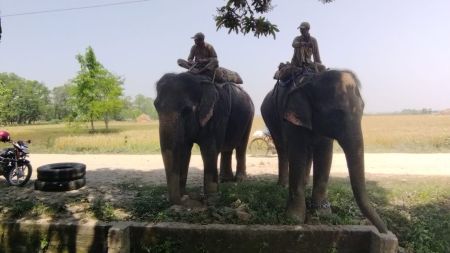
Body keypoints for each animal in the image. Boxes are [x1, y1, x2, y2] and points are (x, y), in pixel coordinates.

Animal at [154, 72, 253, 205]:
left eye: (186, 111)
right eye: (156, 107)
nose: (182, 200)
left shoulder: (217, 113)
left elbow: (209, 150)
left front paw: (211, 199)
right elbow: (184, 150)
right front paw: (184, 194)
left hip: (250, 117)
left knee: (241, 146)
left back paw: (240, 179)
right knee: (227, 150)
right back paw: (225, 180)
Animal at [262, 64, 388, 233]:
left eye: (362, 109)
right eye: (337, 113)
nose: (385, 231)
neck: (312, 81)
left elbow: (325, 154)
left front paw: (322, 214)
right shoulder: (292, 116)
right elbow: (297, 153)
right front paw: (294, 218)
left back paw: (304, 184)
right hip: (269, 116)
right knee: (282, 148)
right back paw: (282, 186)